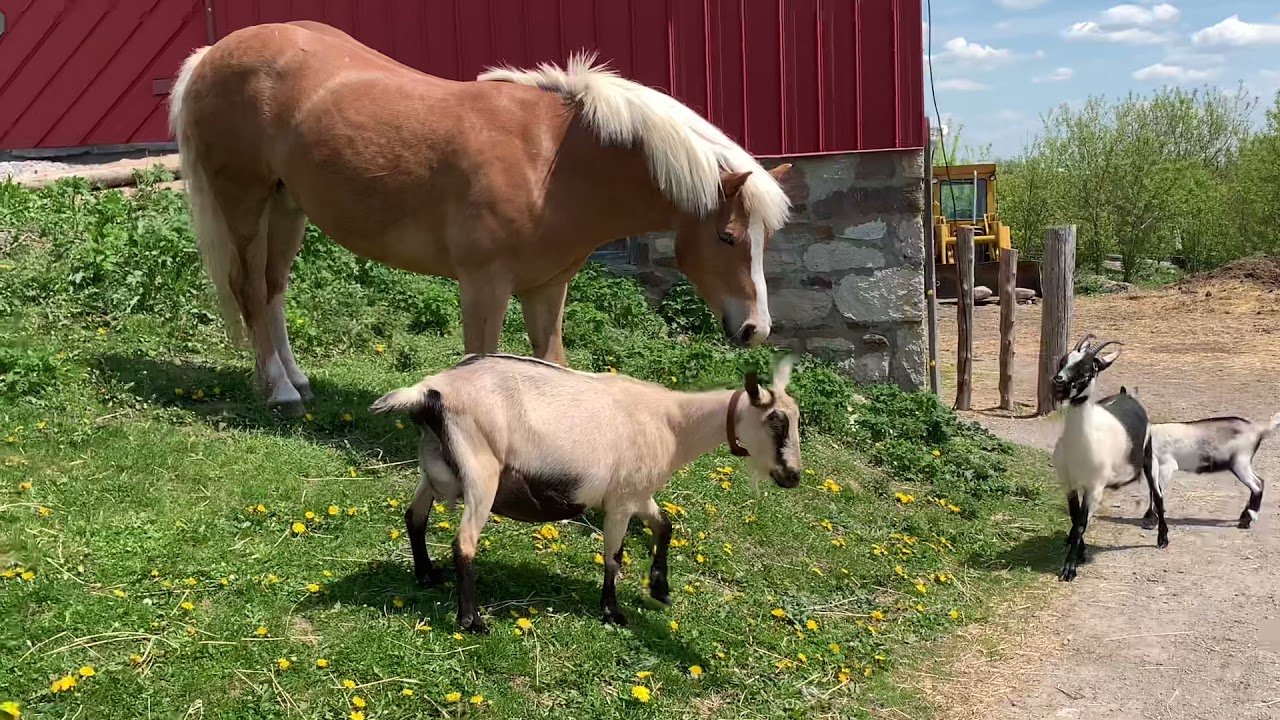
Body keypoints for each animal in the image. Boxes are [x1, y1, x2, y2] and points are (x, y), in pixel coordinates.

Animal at [167, 20, 794, 410]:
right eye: (727, 237)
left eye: (765, 241)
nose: (756, 329)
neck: (554, 161)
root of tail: (209, 56)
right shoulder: (484, 286)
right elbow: (483, 365)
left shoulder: (547, 289)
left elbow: (552, 363)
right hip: (244, 202)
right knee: (249, 290)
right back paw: (278, 389)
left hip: (286, 206)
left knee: (272, 291)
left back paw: (295, 380)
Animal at [370, 352, 803, 632]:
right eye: (776, 422)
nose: (793, 476)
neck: (673, 423)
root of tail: (430, 391)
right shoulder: (621, 502)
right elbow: (614, 556)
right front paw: (612, 611)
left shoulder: (636, 494)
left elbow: (665, 526)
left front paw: (660, 589)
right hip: (481, 472)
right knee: (464, 543)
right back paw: (472, 620)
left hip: (434, 470)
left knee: (414, 516)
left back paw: (426, 574)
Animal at [1050, 334, 1166, 582]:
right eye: (1063, 360)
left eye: (1086, 369)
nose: (1058, 381)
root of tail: (1128, 395)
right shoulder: (1068, 483)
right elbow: (1074, 517)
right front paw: (1080, 553)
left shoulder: (1095, 487)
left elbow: (1081, 523)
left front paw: (1069, 569)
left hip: (1149, 457)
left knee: (1158, 494)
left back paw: (1163, 538)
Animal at [1137, 409, 1280, 530]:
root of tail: (1258, 430)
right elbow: (1152, 490)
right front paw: (1148, 518)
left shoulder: (1166, 465)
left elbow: (1157, 491)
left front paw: (1150, 522)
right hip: (1242, 463)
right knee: (1260, 480)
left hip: (1240, 462)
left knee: (1257, 484)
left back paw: (1247, 519)